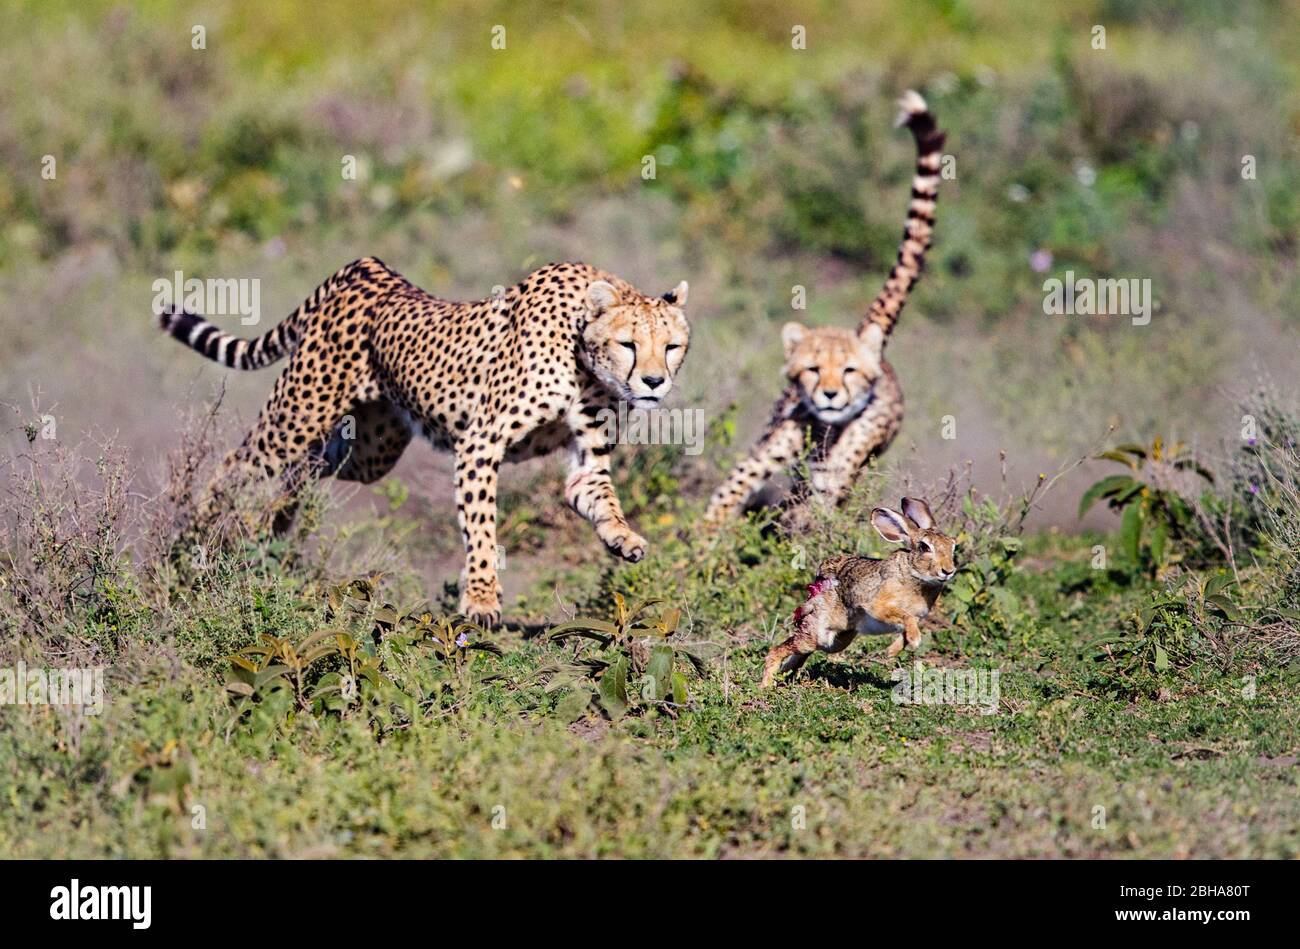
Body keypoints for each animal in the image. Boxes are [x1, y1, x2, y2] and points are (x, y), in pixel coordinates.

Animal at [158, 257, 691, 621]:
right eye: (628, 344)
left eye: (672, 347)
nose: (653, 382)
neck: (584, 357)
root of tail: (362, 268)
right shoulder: (479, 444)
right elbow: (481, 528)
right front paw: (481, 598)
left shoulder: (587, 459)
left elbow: (600, 497)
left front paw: (623, 537)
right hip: (297, 415)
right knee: (237, 464)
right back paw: (189, 542)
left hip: (373, 451)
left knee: (309, 466)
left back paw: (275, 526)